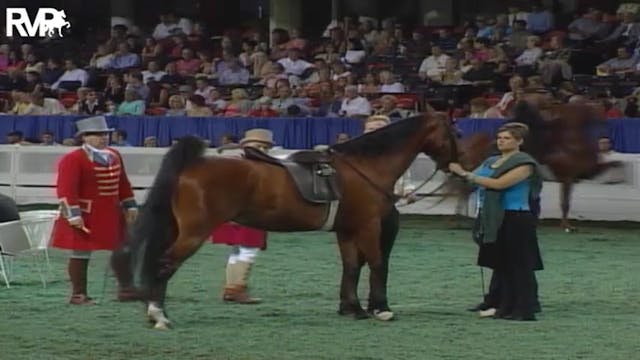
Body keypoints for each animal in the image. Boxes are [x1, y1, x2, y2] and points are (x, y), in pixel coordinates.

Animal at [111, 112, 460, 330]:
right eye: (453, 132)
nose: (455, 164)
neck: (363, 167)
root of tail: (193, 164)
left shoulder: (347, 231)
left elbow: (351, 267)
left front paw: (353, 309)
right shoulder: (368, 226)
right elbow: (377, 263)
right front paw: (381, 308)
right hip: (193, 234)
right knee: (164, 265)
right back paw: (160, 316)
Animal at [456, 100, 620, 232]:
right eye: (595, 109)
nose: (607, 123)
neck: (570, 144)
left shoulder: (583, 174)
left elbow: (614, 165)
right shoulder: (567, 177)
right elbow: (565, 203)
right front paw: (566, 226)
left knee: (464, 190)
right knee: (463, 190)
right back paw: (460, 218)